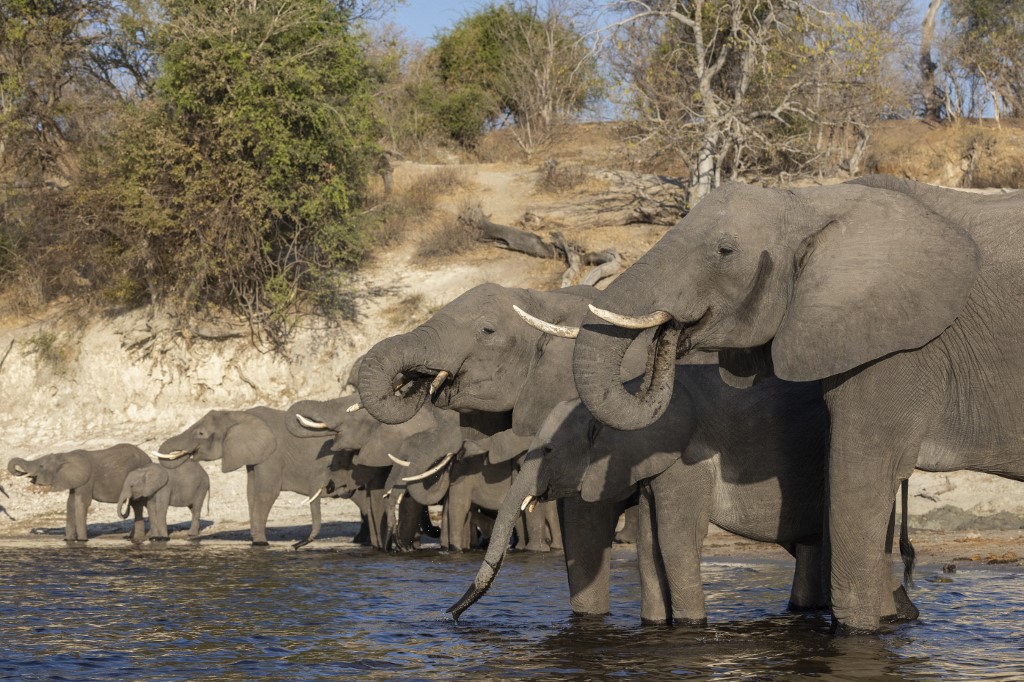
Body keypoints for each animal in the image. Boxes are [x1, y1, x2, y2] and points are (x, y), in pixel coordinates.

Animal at [6, 440, 151, 540]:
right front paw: (68, 540)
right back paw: (130, 537)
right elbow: (70, 503)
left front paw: (82, 540)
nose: (22, 473)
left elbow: (81, 503)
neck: (64, 456)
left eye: (41, 466)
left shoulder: (87, 480)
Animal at [156, 403, 331, 548]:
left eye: (201, 433)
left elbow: (266, 493)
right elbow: (251, 493)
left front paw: (260, 543)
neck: (239, 415)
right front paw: (255, 541)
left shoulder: (273, 455)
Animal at [561, 175, 1024, 630]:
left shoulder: (901, 346)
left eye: (725, 252)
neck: (811, 202)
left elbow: (858, 477)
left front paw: (858, 631)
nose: (672, 331)